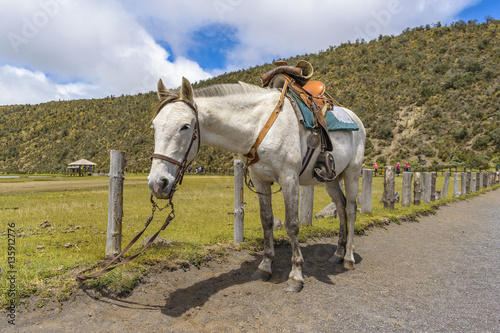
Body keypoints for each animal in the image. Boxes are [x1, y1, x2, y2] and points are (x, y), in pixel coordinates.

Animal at [146, 77, 366, 290]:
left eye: (185, 126)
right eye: (154, 126)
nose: (158, 183)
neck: (259, 126)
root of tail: (356, 120)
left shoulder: (289, 179)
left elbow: (292, 224)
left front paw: (296, 275)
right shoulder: (261, 181)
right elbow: (266, 220)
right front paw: (265, 266)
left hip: (352, 174)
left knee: (350, 210)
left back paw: (348, 257)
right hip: (331, 180)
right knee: (341, 207)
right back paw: (338, 253)